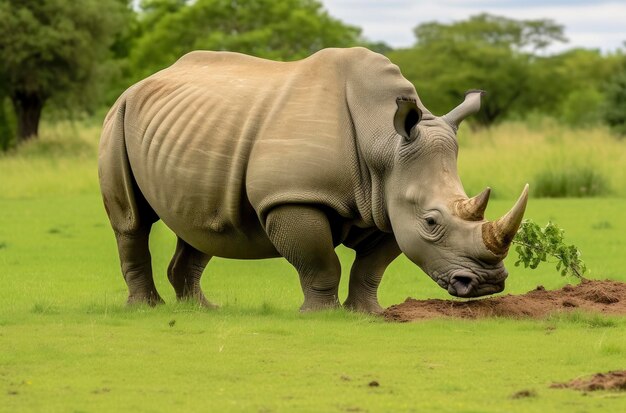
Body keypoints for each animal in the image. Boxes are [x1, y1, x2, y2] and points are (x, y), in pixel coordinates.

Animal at [98, 47, 528, 312]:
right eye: (432, 222)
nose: (488, 283)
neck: (384, 144)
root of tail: (141, 83)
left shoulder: (388, 202)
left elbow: (372, 266)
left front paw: (367, 312)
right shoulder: (294, 196)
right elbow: (320, 261)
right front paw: (321, 313)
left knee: (201, 223)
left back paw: (201, 309)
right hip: (118, 114)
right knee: (132, 221)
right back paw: (147, 308)